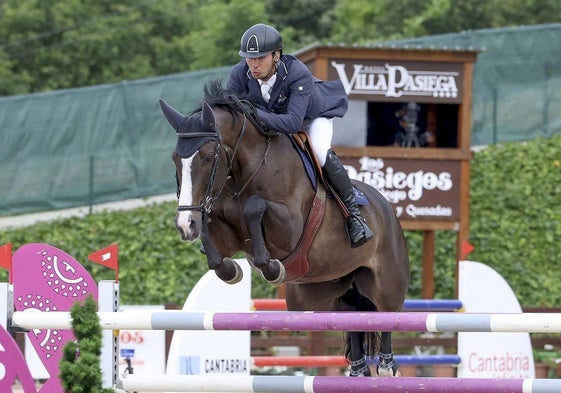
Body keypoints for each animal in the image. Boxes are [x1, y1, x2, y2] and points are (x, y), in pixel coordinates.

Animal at [160, 80, 410, 376]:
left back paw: (386, 366)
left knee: (387, 314)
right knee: (354, 318)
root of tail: (387, 209)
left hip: (386, 282)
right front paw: (230, 269)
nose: (184, 225)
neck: (245, 173)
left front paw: (271, 268)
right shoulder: (226, 234)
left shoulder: (289, 229)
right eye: (175, 158)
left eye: (209, 157)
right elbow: (213, 239)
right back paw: (359, 370)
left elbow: (254, 206)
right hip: (325, 293)